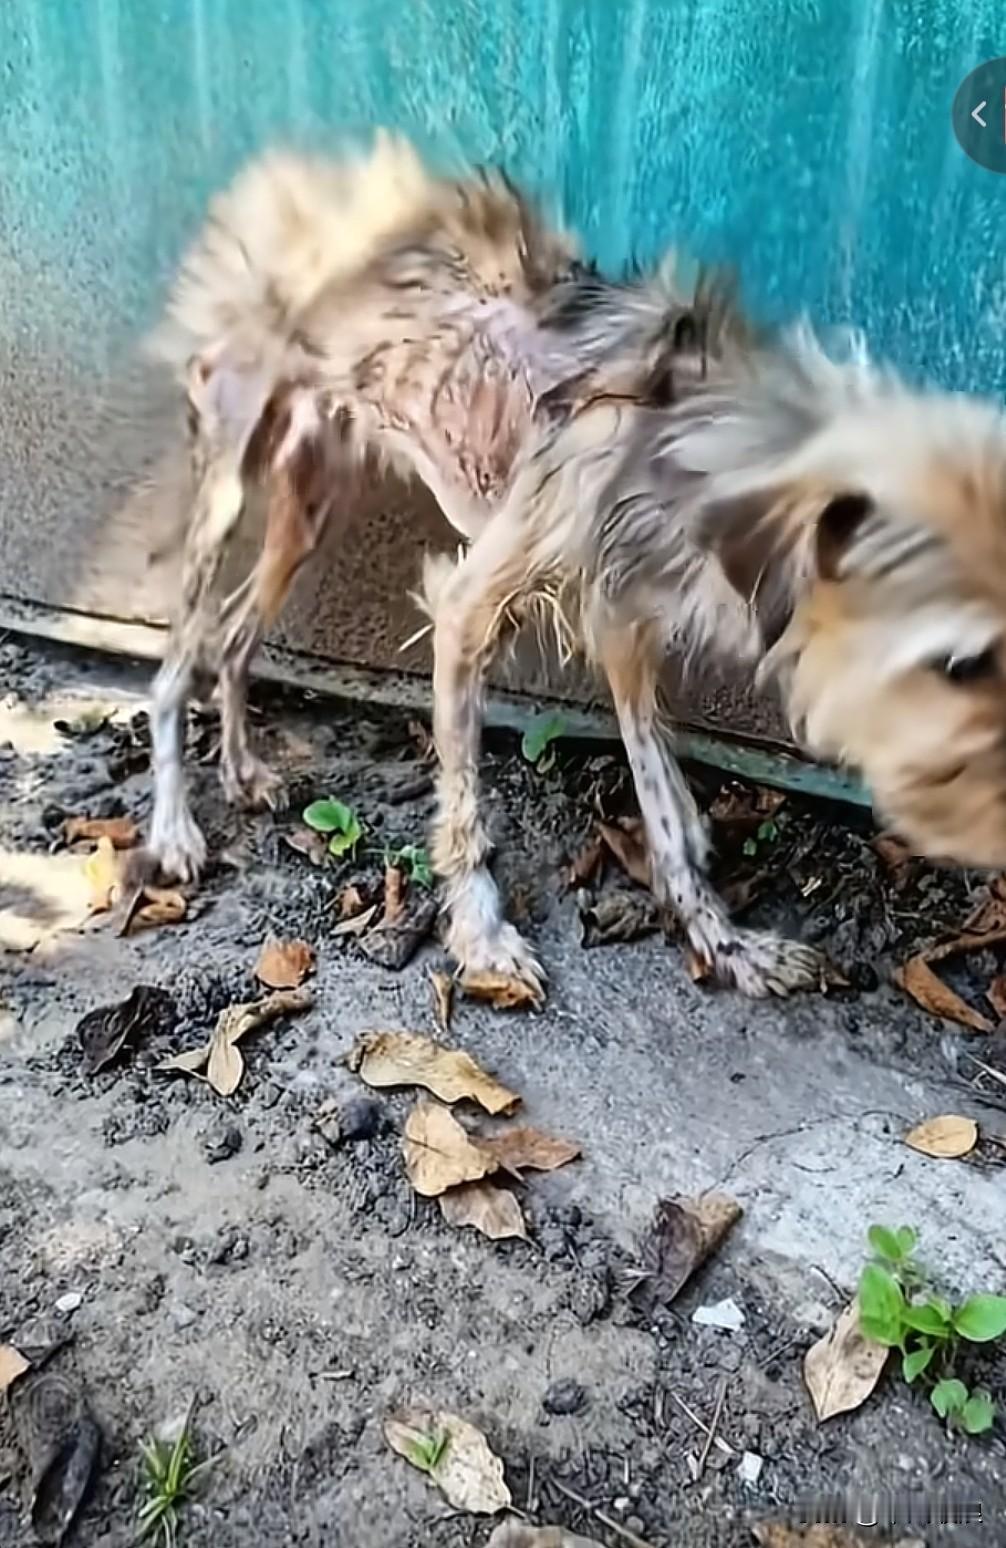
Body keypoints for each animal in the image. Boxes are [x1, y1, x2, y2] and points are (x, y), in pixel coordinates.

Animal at [144, 130, 1006, 1001]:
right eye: (958, 662)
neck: (682, 444)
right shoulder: (469, 605)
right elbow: (466, 810)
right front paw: (483, 940)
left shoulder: (626, 626)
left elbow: (664, 806)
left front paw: (723, 941)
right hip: (225, 487)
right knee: (173, 669)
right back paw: (174, 828)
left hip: (307, 506)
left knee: (235, 636)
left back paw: (245, 771)